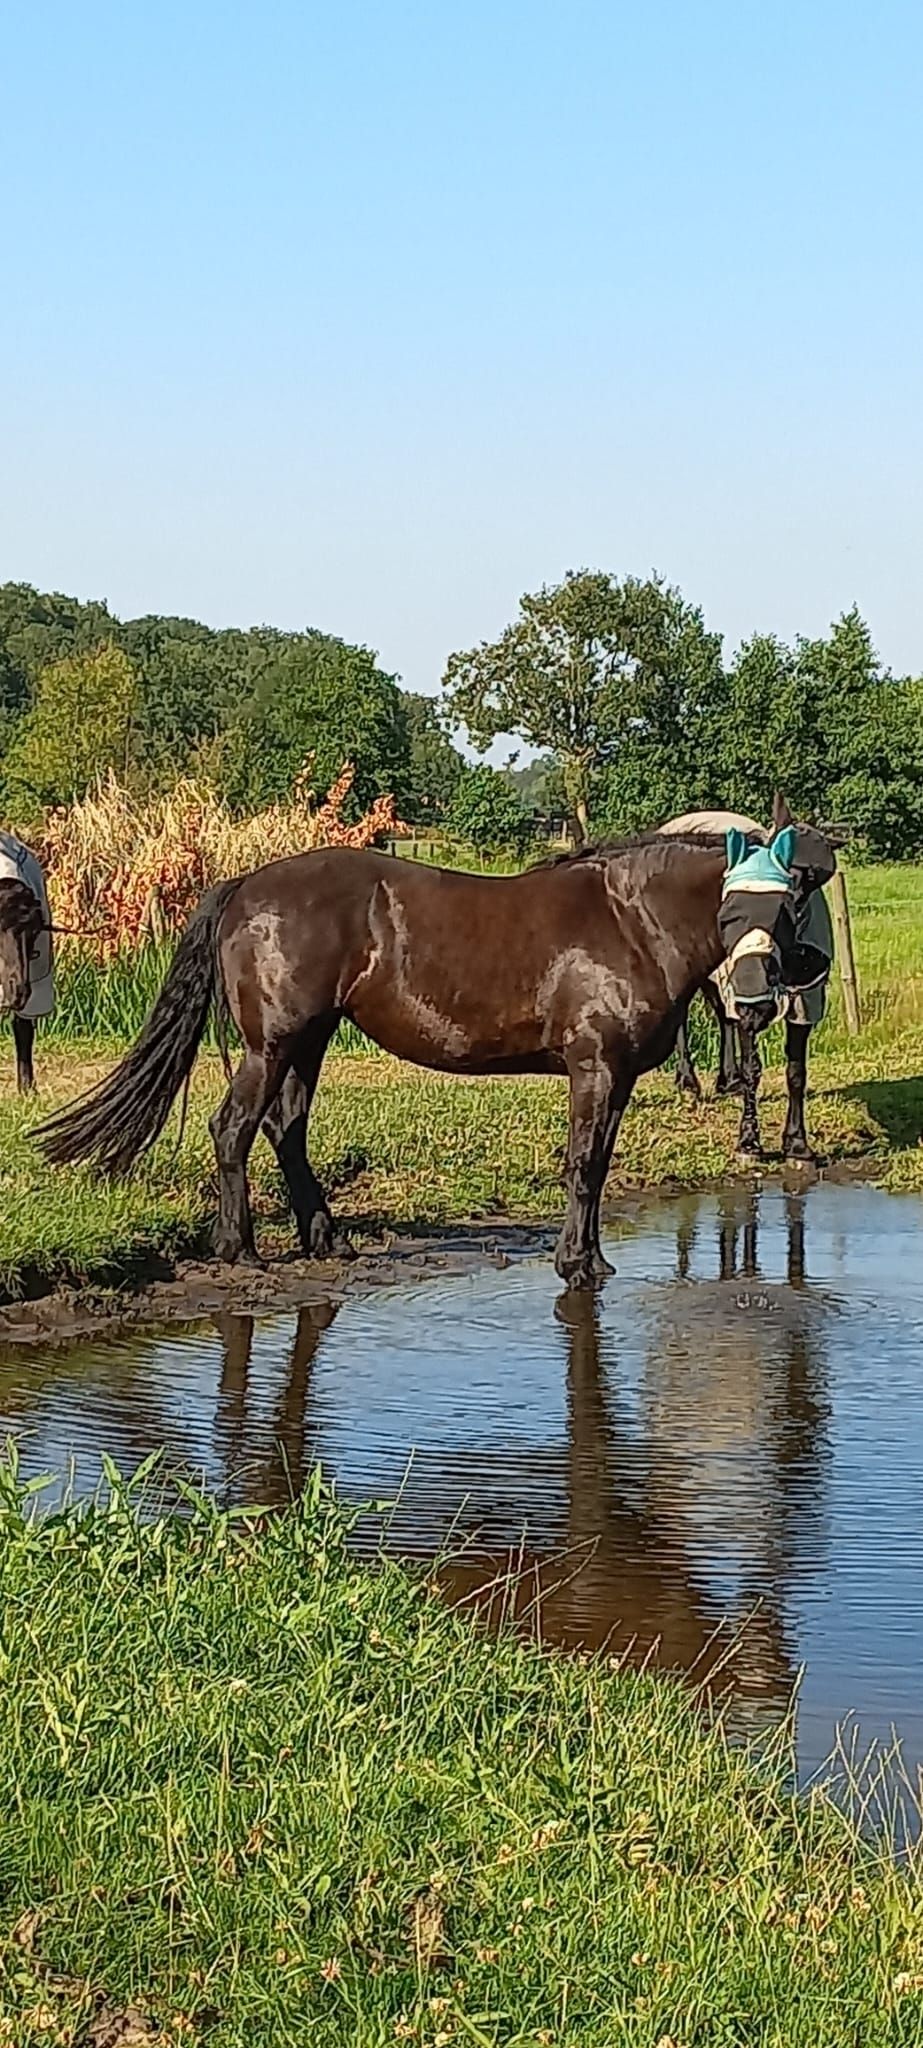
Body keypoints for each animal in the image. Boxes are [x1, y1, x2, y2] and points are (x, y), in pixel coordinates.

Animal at [660, 798, 835, 1163]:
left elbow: (796, 1072)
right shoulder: (749, 1003)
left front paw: (796, 1142)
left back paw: (728, 1079)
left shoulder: (805, 1003)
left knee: (722, 1017)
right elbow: (753, 1067)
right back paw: (688, 1081)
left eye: (815, 876)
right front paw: (749, 1141)